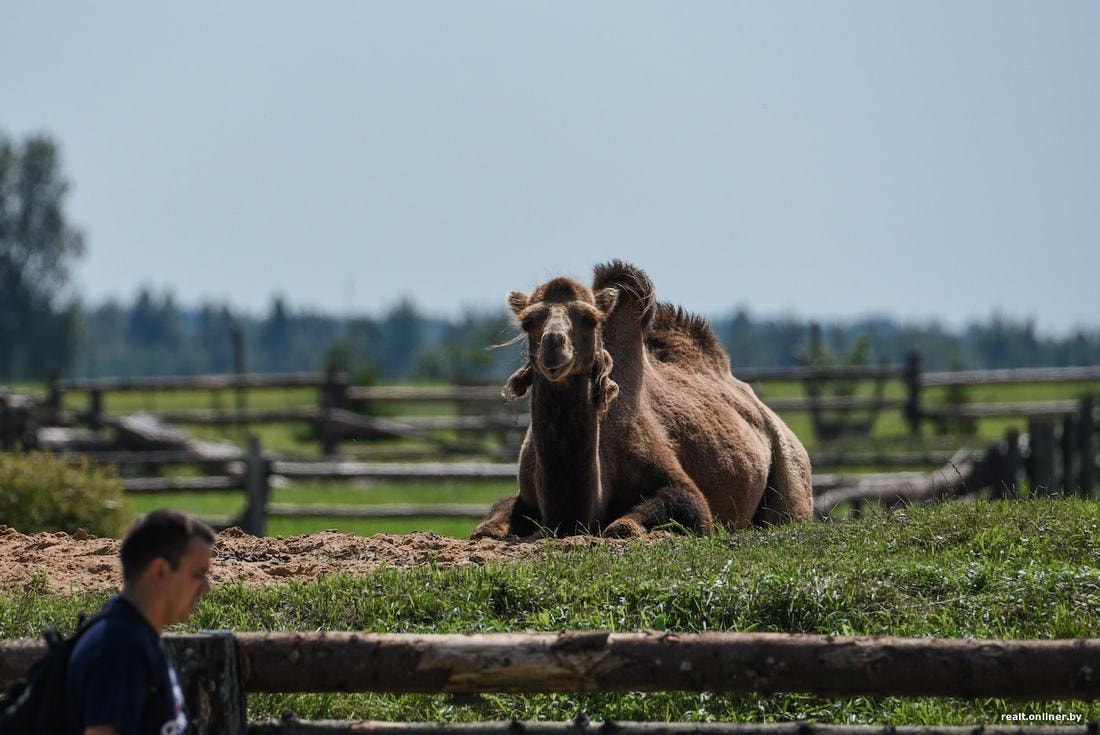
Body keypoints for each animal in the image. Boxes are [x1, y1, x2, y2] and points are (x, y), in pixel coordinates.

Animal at [468, 259, 814, 539]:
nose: (553, 348)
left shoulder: (680, 490)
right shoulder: (526, 495)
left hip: (790, 474)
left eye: (591, 319)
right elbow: (485, 528)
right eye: (528, 322)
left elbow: (631, 523)